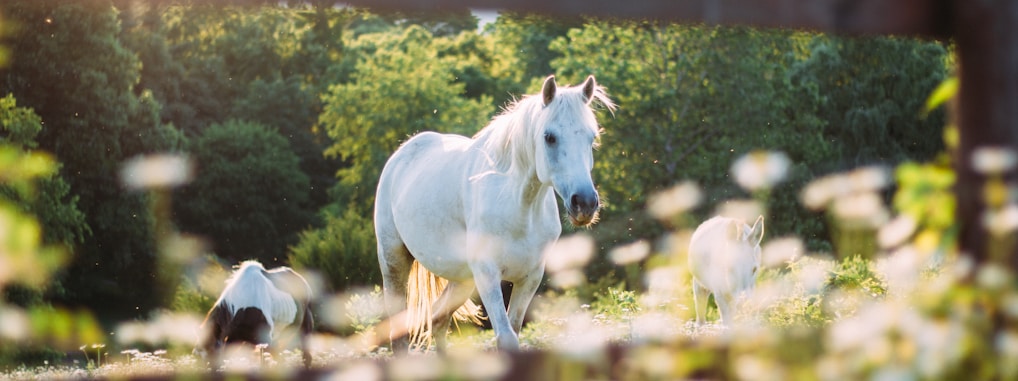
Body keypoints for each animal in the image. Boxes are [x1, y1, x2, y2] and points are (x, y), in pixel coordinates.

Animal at [374, 74, 610, 350]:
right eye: (549, 137)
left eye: (591, 138)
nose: (585, 203)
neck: (519, 209)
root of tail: (401, 154)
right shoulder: (488, 275)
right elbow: (506, 337)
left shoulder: (529, 278)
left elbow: (514, 330)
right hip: (394, 262)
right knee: (399, 330)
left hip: (462, 279)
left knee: (439, 319)